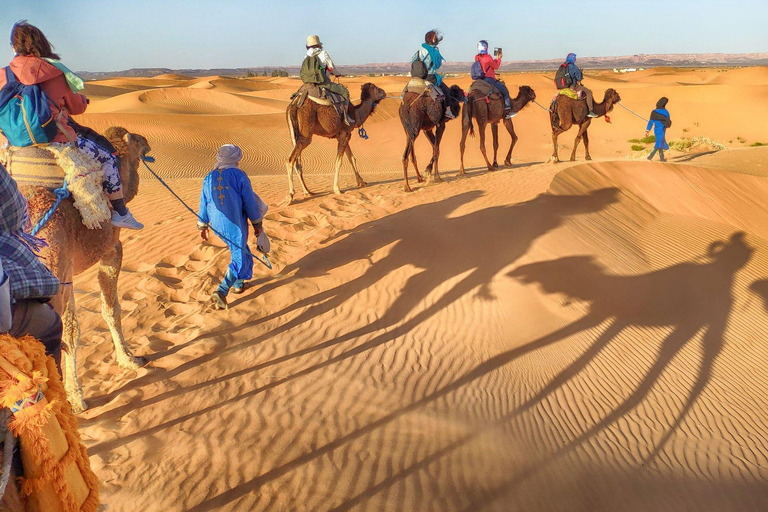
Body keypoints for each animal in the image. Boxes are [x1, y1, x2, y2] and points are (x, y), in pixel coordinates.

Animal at [18, 128, 150, 412]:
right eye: (136, 140)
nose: (147, 142)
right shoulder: (111, 249)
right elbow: (109, 310)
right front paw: (129, 359)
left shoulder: (69, 273)